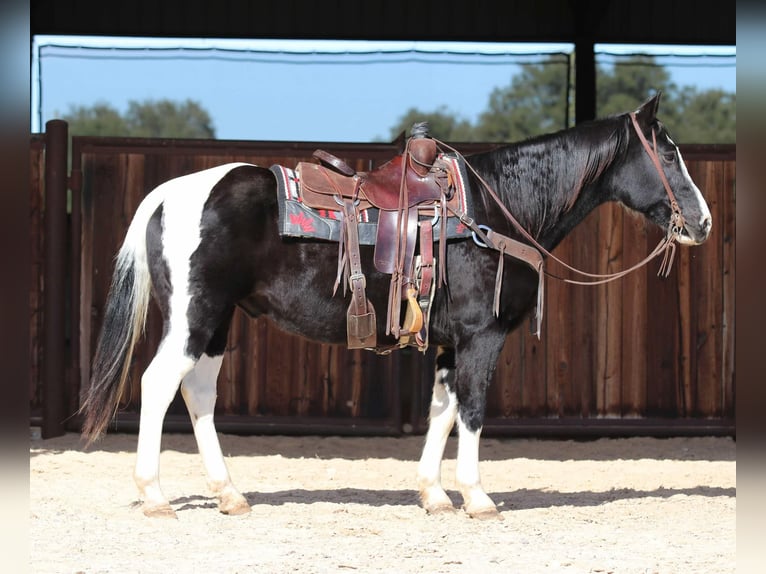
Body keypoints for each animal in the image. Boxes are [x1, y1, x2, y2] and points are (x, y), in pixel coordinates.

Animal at [80, 93, 711, 519]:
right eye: (669, 155)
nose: (703, 222)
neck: (493, 212)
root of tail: (168, 193)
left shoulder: (449, 342)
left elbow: (442, 409)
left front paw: (434, 494)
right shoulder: (482, 336)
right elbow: (473, 409)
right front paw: (477, 497)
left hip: (215, 322)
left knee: (198, 394)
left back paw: (230, 494)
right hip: (195, 316)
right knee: (159, 385)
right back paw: (155, 495)